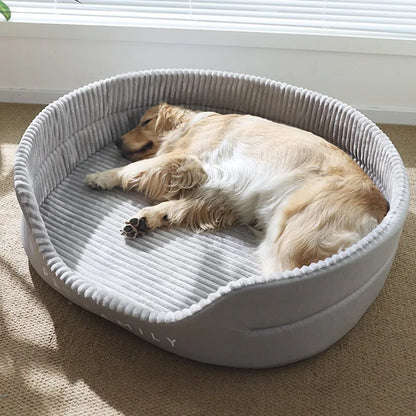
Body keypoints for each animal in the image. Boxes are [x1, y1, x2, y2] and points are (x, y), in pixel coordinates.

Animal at [84, 103, 386, 274]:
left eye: (145, 122)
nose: (117, 140)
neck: (193, 125)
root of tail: (380, 211)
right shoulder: (221, 196)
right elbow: (178, 206)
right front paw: (146, 219)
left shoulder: (189, 159)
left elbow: (135, 168)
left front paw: (101, 176)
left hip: (293, 234)